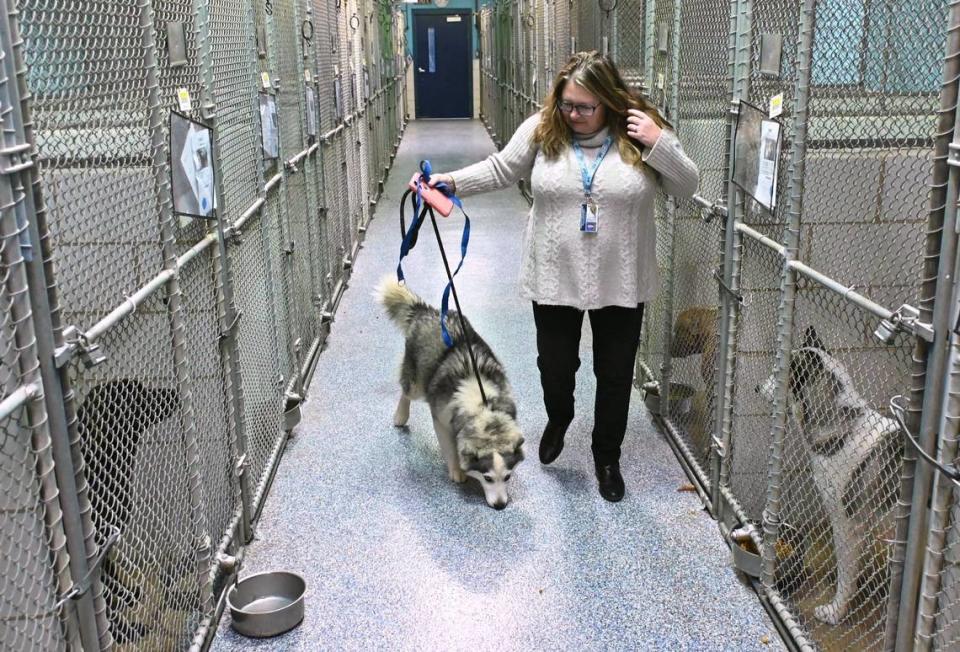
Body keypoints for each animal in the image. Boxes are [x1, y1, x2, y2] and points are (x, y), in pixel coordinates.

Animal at [76, 380, 180, 644]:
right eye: (140, 394)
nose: (174, 392)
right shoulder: (98, 543)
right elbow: (103, 597)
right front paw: (121, 629)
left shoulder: (109, 541)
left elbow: (112, 576)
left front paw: (129, 594)